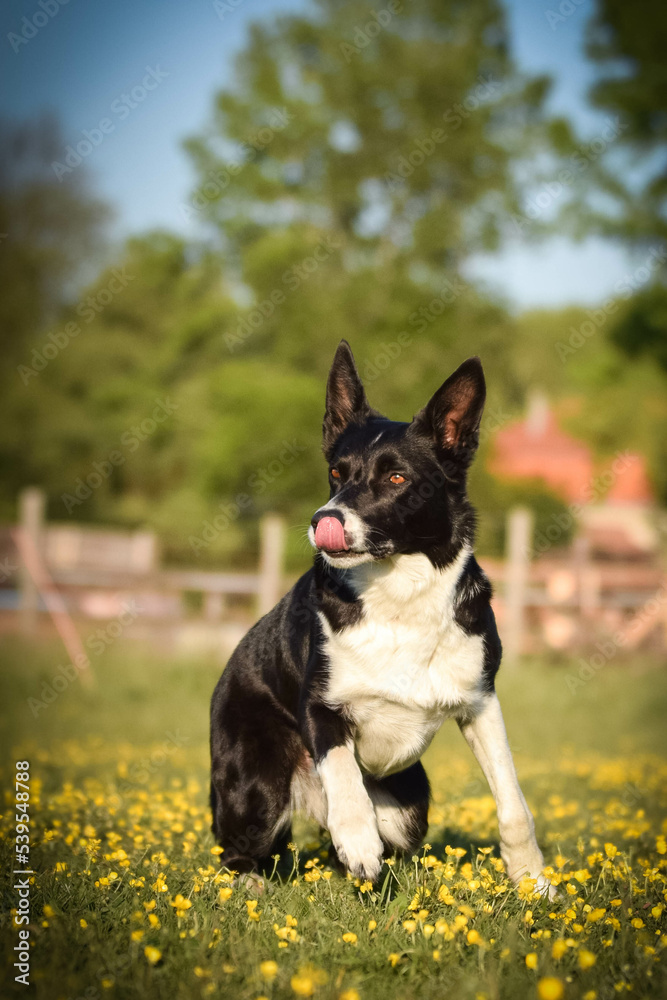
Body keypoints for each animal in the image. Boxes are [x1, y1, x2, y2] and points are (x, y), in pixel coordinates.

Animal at [211, 344, 552, 892]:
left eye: (396, 477)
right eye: (336, 472)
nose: (322, 521)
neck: (400, 593)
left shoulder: (481, 704)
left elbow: (513, 802)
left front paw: (534, 884)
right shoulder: (320, 707)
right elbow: (345, 778)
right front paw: (359, 842)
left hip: (410, 804)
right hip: (257, 788)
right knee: (240, 847)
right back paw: (253, 882)